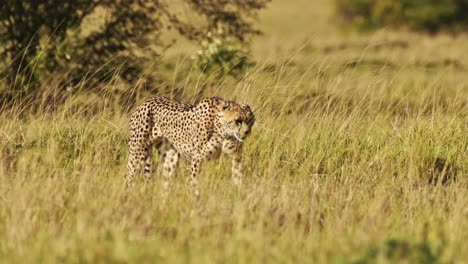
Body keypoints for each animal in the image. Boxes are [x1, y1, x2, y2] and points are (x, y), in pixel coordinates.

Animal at [126, 96, 254, 198]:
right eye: (238, 121)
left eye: (250, 121)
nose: (246, 132)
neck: (223, 131)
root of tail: (146, 101)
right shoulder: (198, 158)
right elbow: (194, 181)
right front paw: (195, 201)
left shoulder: (235, 157)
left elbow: (238, 176)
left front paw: (239, 195)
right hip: (138, 153)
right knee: (128, 177)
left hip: (170, 157)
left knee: (166, 182)